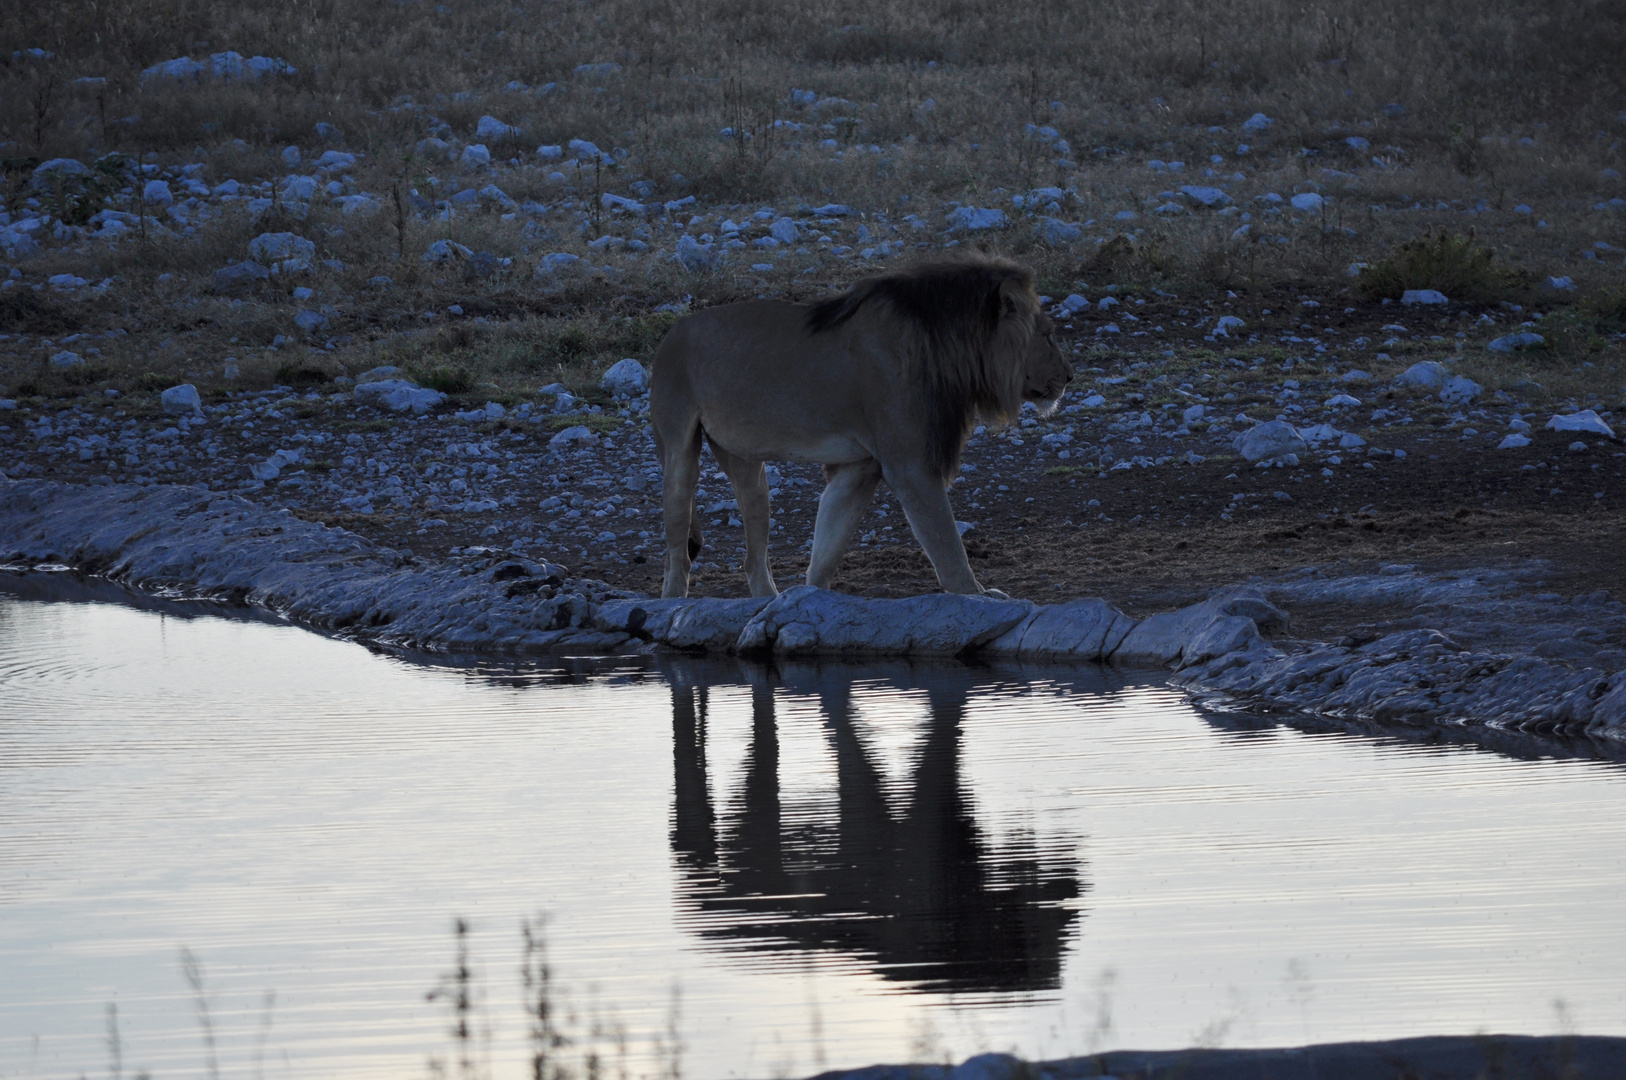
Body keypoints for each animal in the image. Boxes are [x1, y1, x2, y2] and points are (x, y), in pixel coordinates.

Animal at [647, 258, 1066, 601]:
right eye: (1048, 334)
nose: (1070, 375)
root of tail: (669, 334)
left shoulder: (860, 467)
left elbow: (830, 539)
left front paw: (806, 599)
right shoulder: (909, 464)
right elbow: (945, 539)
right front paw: (976, 594)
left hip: (748, 468)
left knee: (753, 553)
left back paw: (767, 600)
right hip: (679, 452)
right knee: (676, 552)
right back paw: (672, 604)